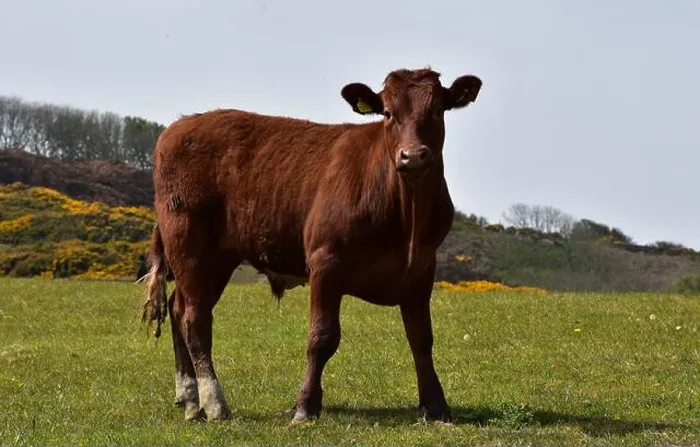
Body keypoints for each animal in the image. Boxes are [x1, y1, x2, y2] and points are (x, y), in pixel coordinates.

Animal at [142, 67, 482, 423]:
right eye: (388, 113)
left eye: (438, 110)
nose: (413, 155)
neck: (407, 217)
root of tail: (181, 125)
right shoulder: (326, 262)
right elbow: (321, 337)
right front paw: (305, 406)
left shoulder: (422, 269)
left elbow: (421, 338)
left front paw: (437, 405)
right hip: (188, 241)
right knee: (195, 318)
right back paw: (214, 402)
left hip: (217, 258)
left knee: (179, 309)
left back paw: (190, 399)